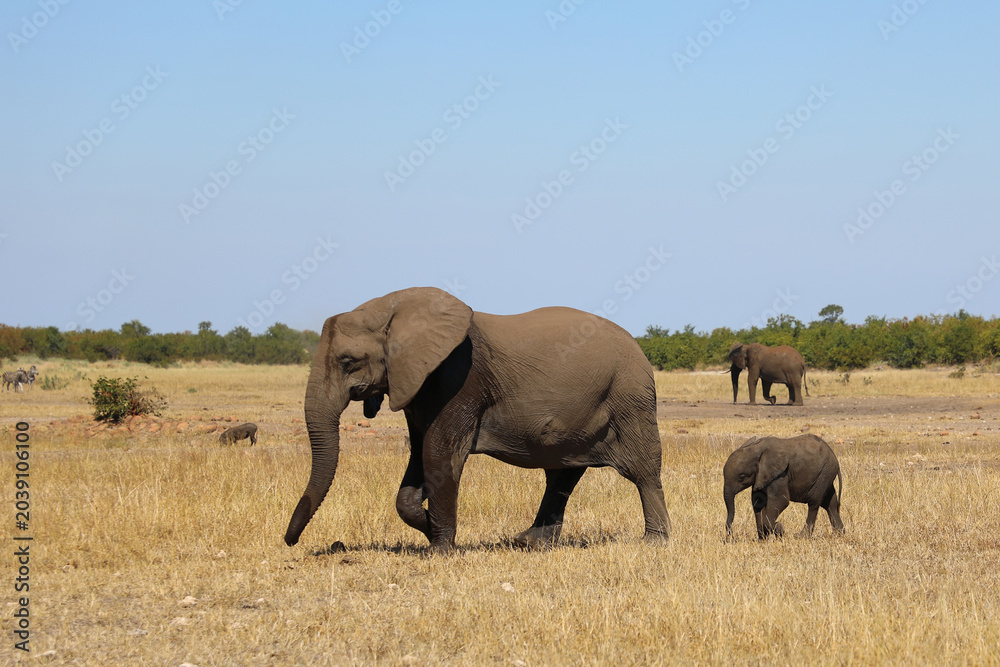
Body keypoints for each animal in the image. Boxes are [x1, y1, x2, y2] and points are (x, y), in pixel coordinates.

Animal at [284, 287, 672, 553]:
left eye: (348, 361)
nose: (289, 542)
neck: (393, 309)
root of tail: (638, 345)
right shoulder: (417, 383)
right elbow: (419, 455)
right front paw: (429, 527)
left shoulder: (460, 378)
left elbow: (439, 454)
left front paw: (440, 549)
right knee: (562, 473)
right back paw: (528, 542)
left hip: (630, 395)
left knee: (642, 469)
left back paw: (654, 542)